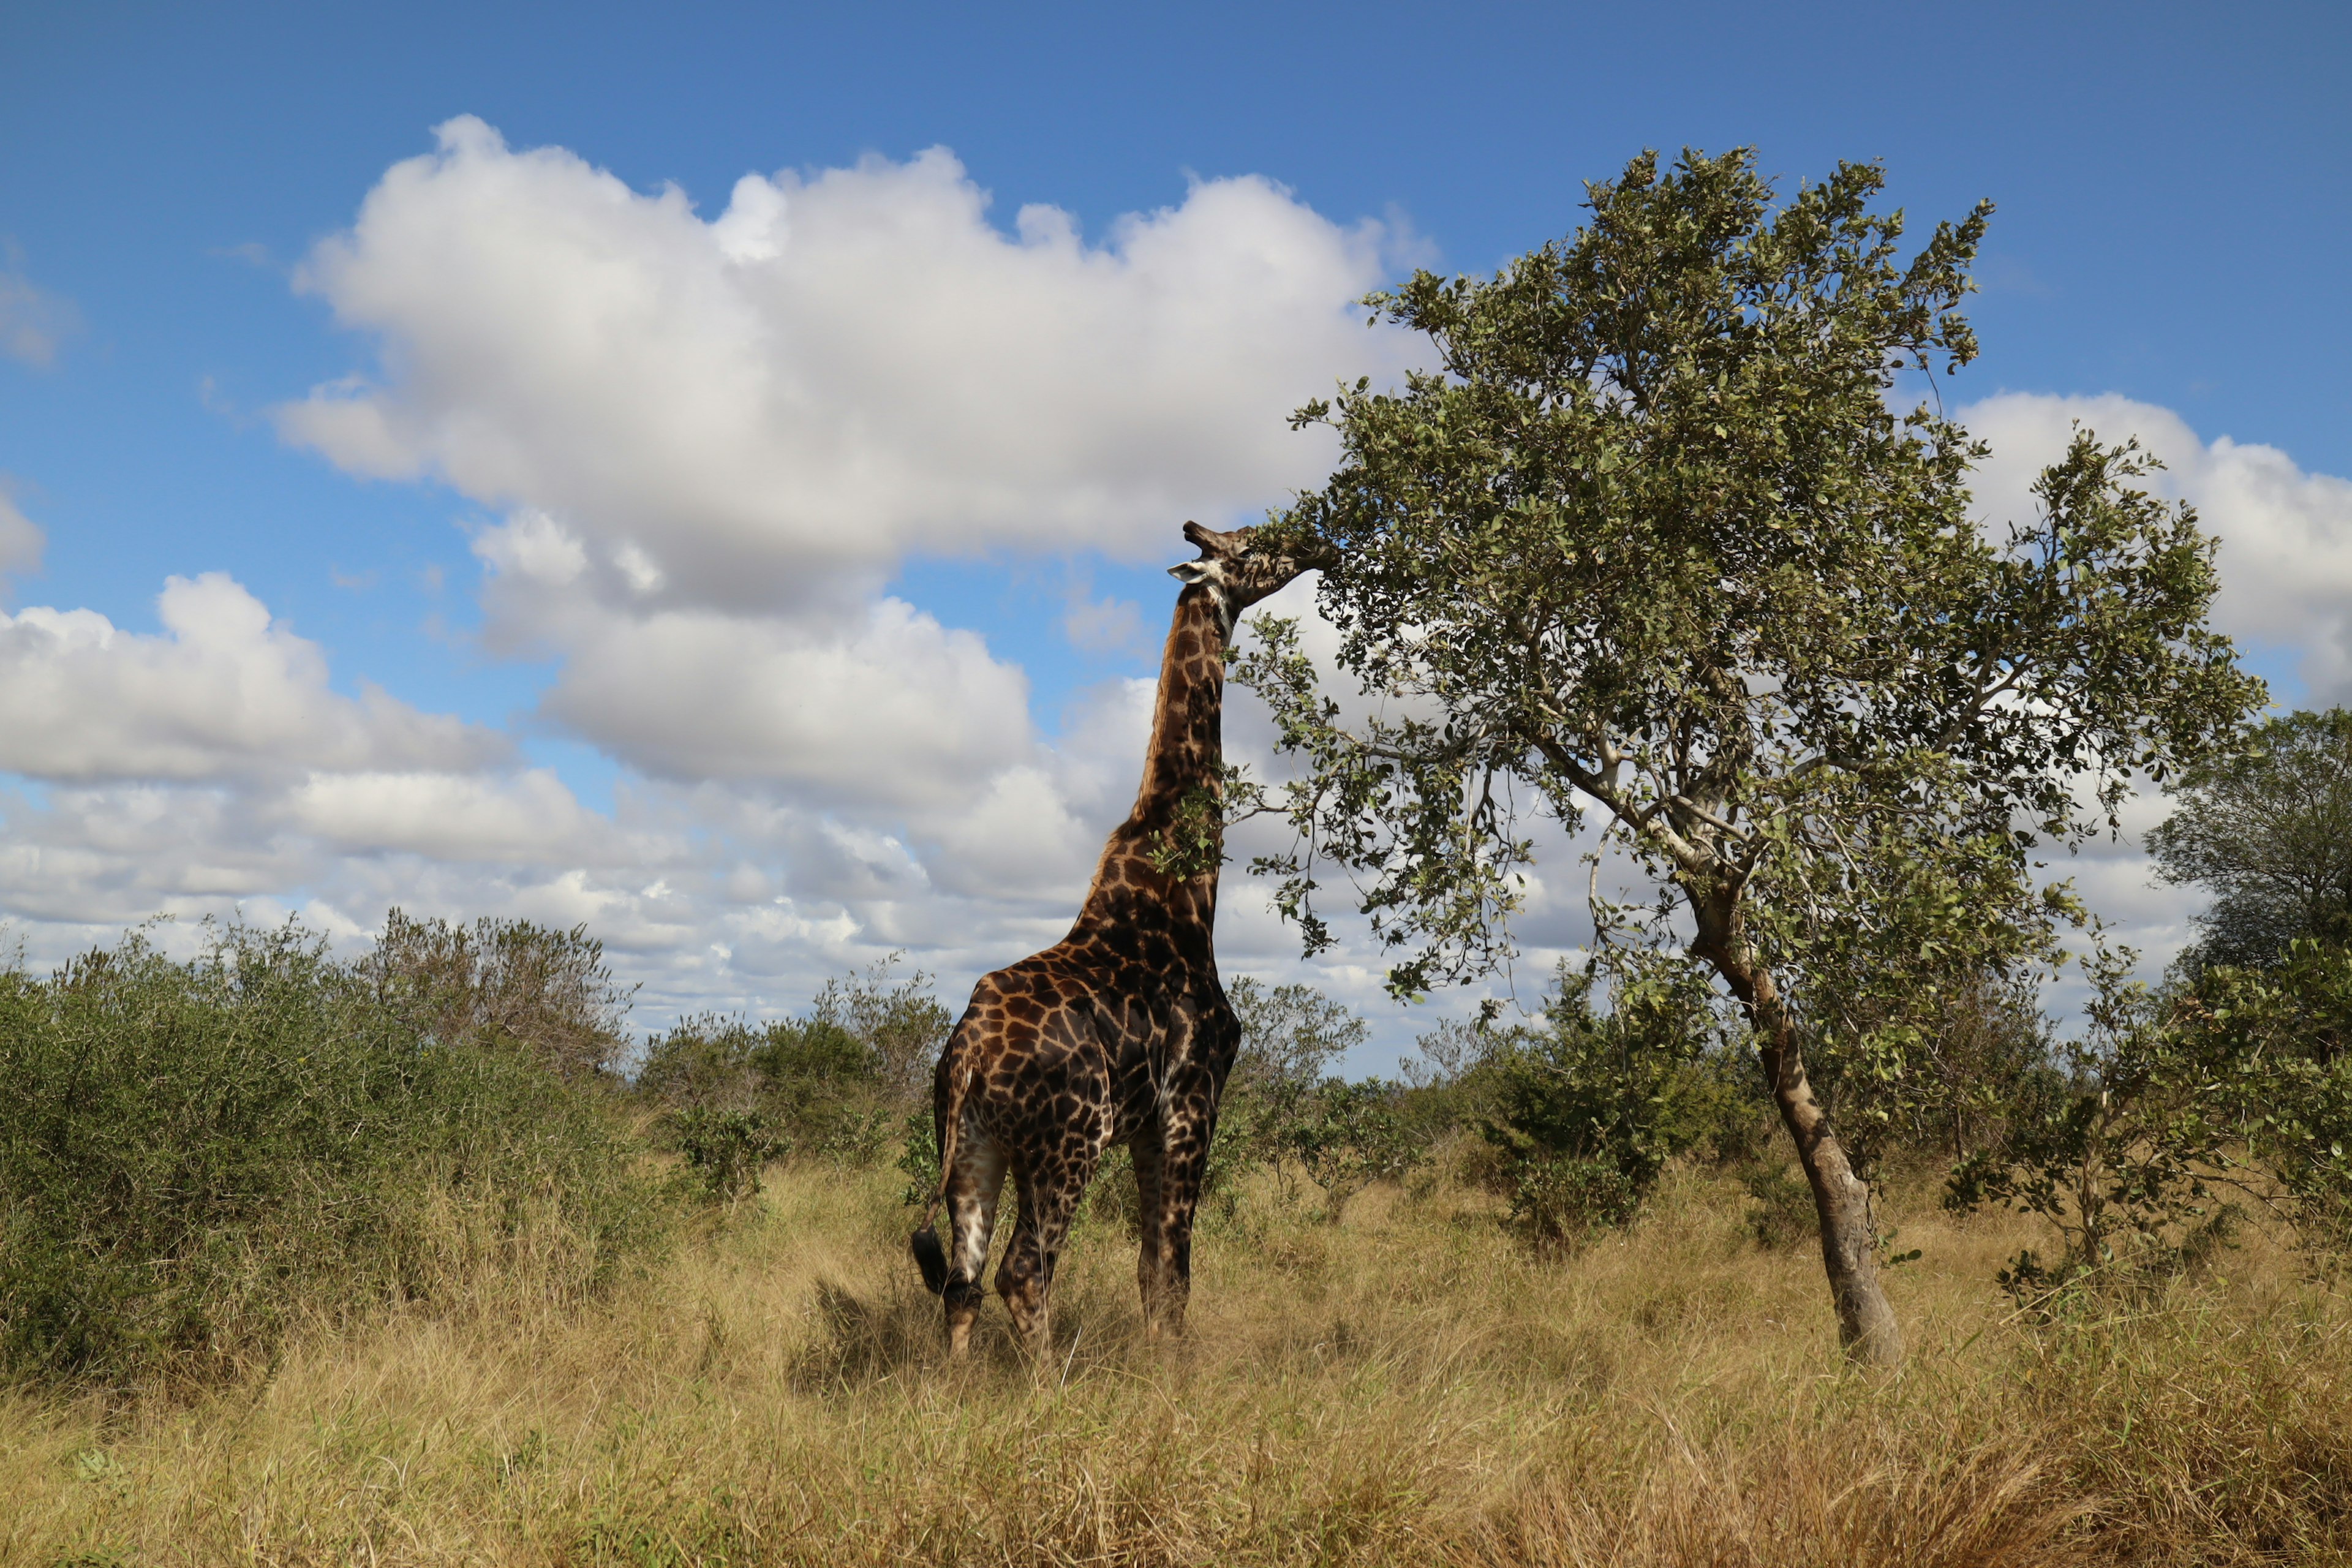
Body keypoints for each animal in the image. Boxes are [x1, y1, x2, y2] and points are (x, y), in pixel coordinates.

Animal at [908, 522, 1336, 1354]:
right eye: (1252, 545)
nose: (1316, 543)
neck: (1187, 893)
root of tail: (967, 1054)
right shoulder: (1193, 1099)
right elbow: (1174, 1271)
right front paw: (1170, 1375)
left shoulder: (1145, 1126)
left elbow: (1148, 1269)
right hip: (1066, 1144)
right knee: (1024, 1271)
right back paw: (1052, 1383)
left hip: (975, 1144)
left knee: (963, 1280)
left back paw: (951, 1384)